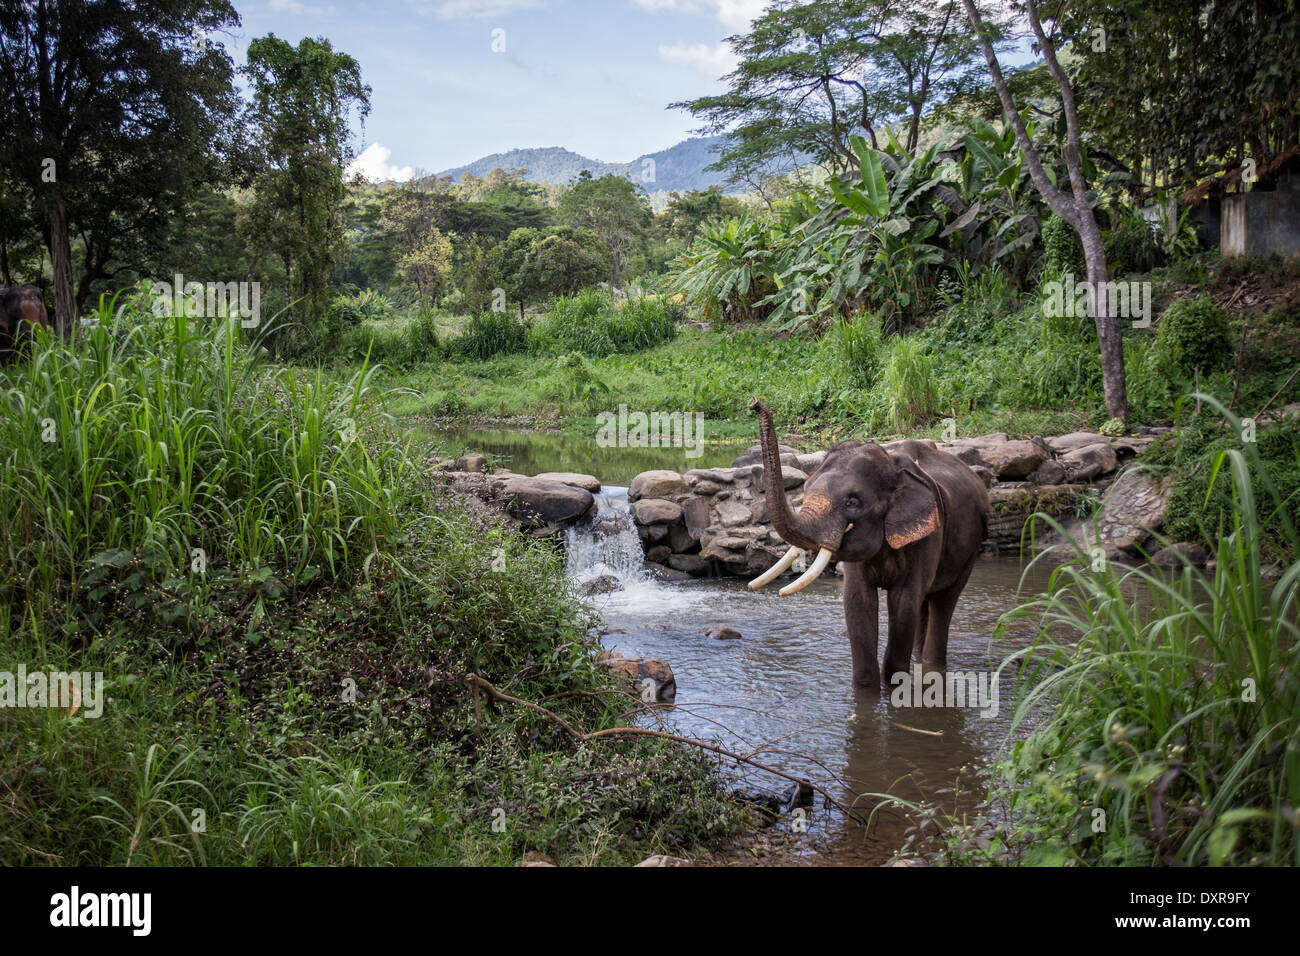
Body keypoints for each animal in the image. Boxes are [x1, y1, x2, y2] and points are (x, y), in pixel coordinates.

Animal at [748, 400, 987, 691]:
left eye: (852, 501)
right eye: (805, 488)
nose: (755, 404)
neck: (894, 469)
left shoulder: (929, 535)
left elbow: (904, 602)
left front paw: (895, 686)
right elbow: (857, 600)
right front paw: (865, 690)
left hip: (970, 547)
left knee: (943, 601)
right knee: (926, 602)